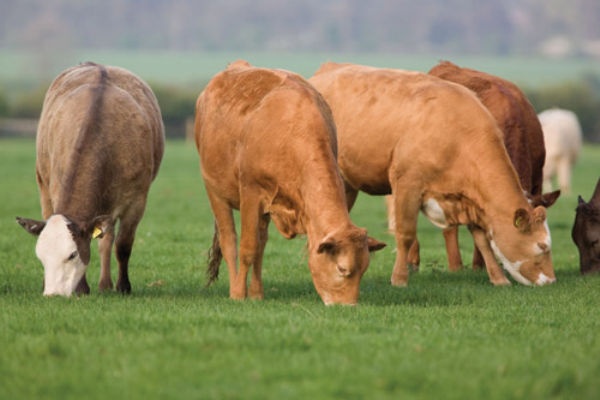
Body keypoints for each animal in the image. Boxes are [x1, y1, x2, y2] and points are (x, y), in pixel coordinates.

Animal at [16, 61, 164, 296]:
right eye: (40, 256)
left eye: (72, 254)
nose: (53, 294)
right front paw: (82, 289)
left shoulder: (136, 201)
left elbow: (123, 245)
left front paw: (123, 287)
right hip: (43, 181)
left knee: (107, 241)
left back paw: (105, 284)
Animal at [195, 59, 386, 304]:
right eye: (342, 269)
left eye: (364, 270)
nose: (349, 306)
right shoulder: (250, 192)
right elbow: (247, 248)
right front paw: (238, 294)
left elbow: (258, 247)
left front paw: (254, 294)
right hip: (214, 191)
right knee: (229, 240)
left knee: (261, 242)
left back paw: (256, 292)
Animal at [310, 61, 556, 288]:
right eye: (542, 246)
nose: (551, 281)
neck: (457, 137)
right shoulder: (408, 185)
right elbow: (405, 234)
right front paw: (399, 279)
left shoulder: (471, 200)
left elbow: (483, 240)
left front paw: (498, 279)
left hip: (347, 184)